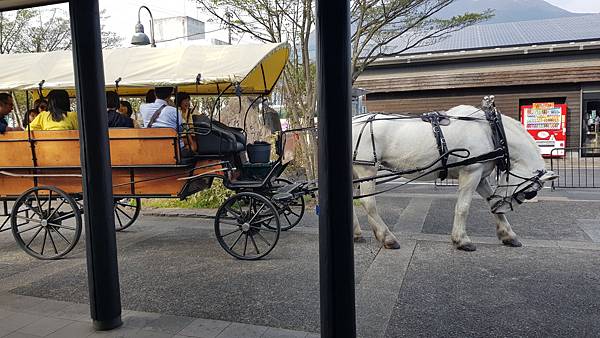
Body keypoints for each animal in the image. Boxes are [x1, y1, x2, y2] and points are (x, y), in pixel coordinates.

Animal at [352, 105, 556, 251]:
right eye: (530, 193)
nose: (502, 206)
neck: (491, 131)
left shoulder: (480, 176)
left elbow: (490, 202)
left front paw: (508, 235)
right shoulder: (471, 172)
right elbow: (463, 207)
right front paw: (462, 240)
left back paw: (356, 233)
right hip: (366, 170)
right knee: (369, 203)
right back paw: (387, 237)